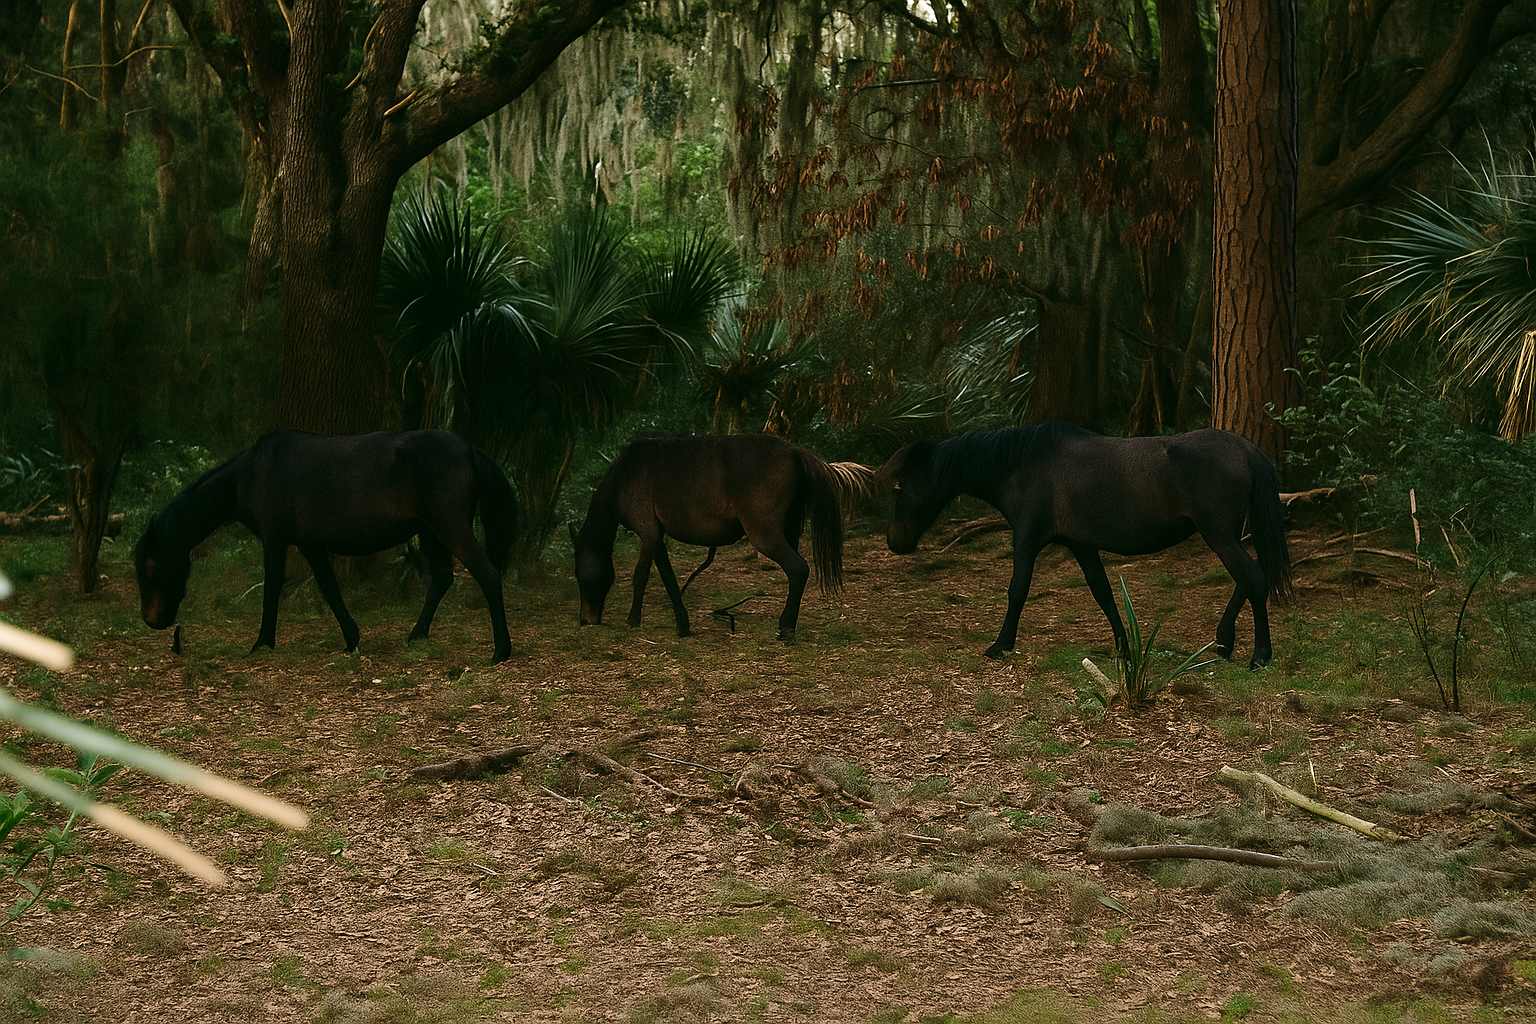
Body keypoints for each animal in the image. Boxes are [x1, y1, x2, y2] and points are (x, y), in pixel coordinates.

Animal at [132, 429, 519, 664]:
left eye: (150, 566)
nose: (152, 621)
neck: (250, 473)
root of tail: (469, 448)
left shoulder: (276, 539)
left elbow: (272, 589)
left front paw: (262, 643)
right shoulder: (310, 545)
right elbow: (329, 589)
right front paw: (352, 639)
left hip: (448, 526)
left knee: (487, 574)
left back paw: (501, 650)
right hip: (429, 532)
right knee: (441, 578)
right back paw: (416, 635)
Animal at [573, 434, 871, 642]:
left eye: (578, 575)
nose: (585, 619)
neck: (624, 476)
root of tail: (796, 451)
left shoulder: (647, 531)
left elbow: (640, 576)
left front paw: (633, 619)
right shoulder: (657, 536)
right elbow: (669, 580)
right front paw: (682, 625)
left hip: (764, 533)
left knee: (798, 568)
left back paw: (785, 627)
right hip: (788, 530)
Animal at [876, 424, 1292, 668]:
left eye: (899, 488)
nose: (895, 542)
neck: (1021, 463)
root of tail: (1248, 451)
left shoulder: (1026, 537)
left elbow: (1017, 590)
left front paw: (1001, 645)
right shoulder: (1081, 544)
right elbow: (1102, 592)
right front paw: (1124, 648)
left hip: (1217, 533)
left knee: (1253, 579)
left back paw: (1259, 655)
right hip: (1224, 534)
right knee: (1246, 580)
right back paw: (1223, 642)